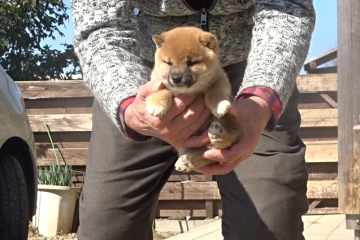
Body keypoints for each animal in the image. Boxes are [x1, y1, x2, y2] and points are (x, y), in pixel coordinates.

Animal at [146, 26, 242, 172]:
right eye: (169, 63)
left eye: (191, 62)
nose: (176, 78)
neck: (188, 91)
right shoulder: (156, 81)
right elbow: (162, 89)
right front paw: (157, 105)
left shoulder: (220, 79)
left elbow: (215, 91)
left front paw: (218, 105)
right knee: (205, 156)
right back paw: (186, 162)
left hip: (230, 121)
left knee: (225, 143)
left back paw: (218, 134)